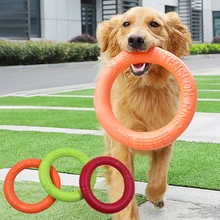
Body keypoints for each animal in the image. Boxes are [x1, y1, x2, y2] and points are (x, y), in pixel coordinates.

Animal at [96, 6, 191, 219]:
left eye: (154, 24)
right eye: (126, 24)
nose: (136, 40)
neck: (144, 86)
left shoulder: (165, 136)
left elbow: (159, 177)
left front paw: (155, 197)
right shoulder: (121, 142)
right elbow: (123, 183)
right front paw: (127, 214)